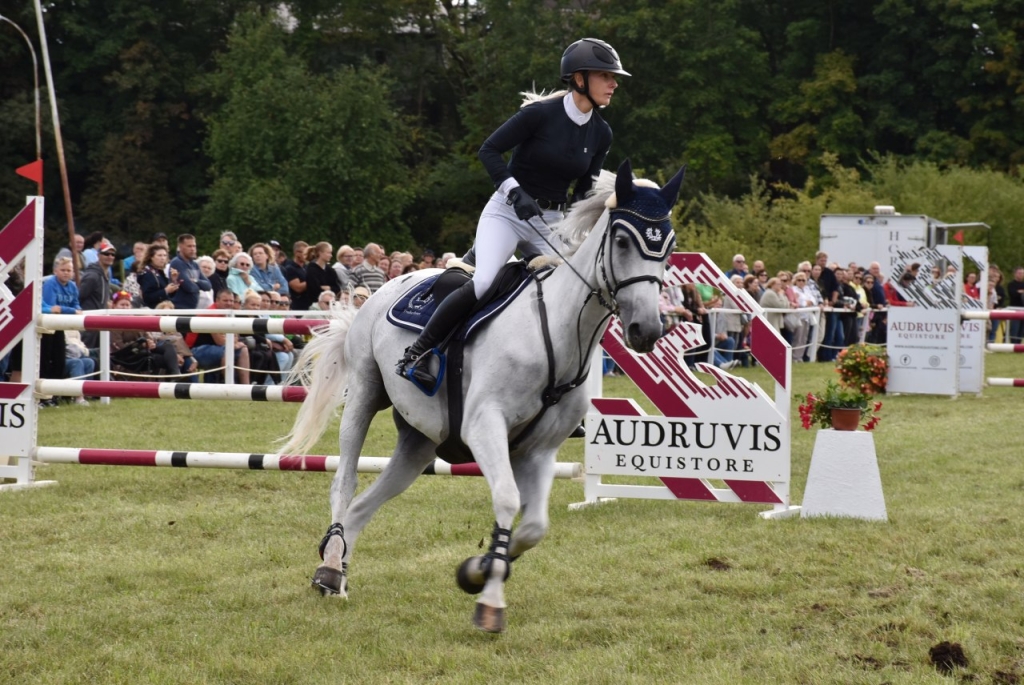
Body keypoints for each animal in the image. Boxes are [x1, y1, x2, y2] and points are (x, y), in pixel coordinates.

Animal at [278, 157, 688, 634]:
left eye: (670, 246)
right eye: (622, 240)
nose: (646, 331)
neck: (558, 331)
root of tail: (388, 286)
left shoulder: (540, 450)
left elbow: (532, 528)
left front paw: (478, 572)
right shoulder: (484, 426)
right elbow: (508, 500)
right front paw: (489, 601)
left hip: (420, 443)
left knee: (365, 504)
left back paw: (339, 570)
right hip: (365, 392)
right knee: (345, 482)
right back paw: (329, 567)